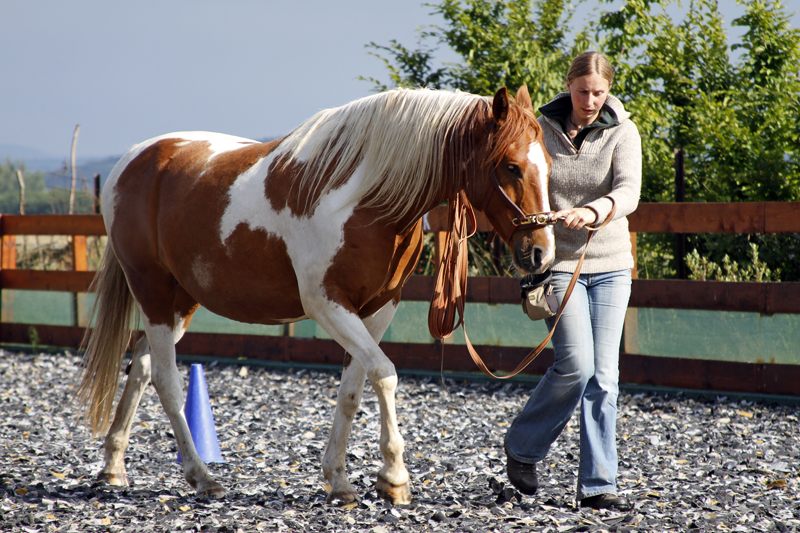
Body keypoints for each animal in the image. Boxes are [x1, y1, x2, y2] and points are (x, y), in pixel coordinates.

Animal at [76, 85, 556, 500]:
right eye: (510, 166)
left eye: (548, 166)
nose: (541, 252)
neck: (365, 201)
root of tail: (133, 160)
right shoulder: (327, 304)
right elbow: (385, 374)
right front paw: (394, 478)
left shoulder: (378, 309)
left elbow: (352, 390)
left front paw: (339, 480)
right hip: (153, 290)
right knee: (166, 380)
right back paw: (201, 476)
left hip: (180, 301)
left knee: (141, 365)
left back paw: (114, 467)